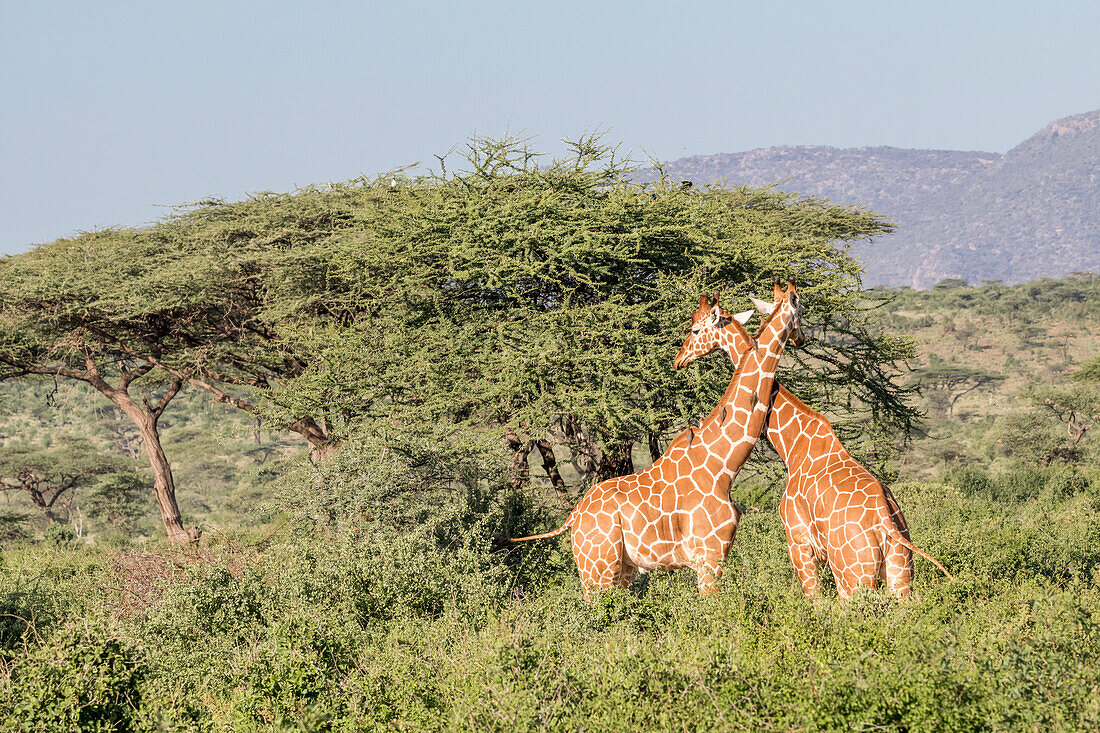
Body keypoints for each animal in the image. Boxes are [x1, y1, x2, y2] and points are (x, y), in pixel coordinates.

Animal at [510, 279, 805, 594]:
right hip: (597, 571)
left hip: (621, 570)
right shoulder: (708, 557)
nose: (678, 360)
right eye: (695, 330)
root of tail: (573, 518)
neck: (724, 465)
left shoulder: (716, 557)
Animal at [668, 288, 954, 598]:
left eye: (695, 329)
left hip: (852, 576)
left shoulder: (799, 543)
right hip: (900, 573)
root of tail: (885, 523)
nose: (679, 359)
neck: (792, 443)